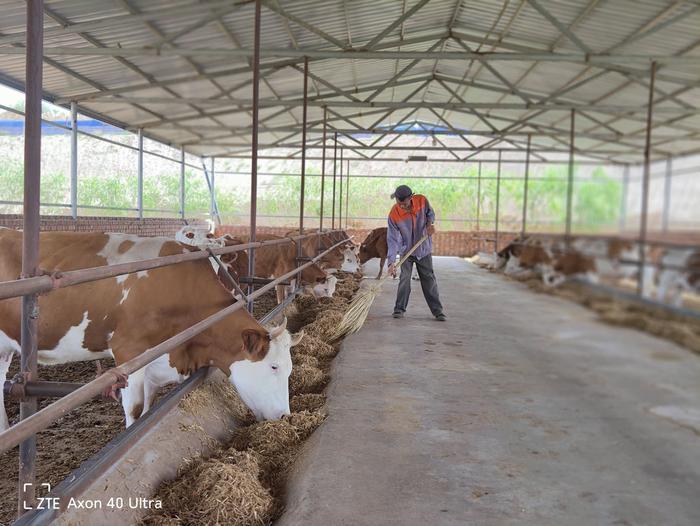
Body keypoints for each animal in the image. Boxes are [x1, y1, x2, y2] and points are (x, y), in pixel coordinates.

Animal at [0, 230, 300, 428]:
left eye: (290, 369)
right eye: (273, 366)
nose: (285, 416)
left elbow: (147, 406)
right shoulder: (129, 353)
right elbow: (133, 409)